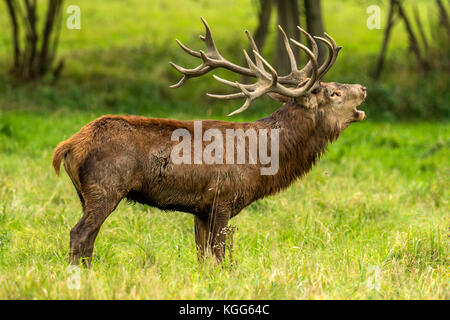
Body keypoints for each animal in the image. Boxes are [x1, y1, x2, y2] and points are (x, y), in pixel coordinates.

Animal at [52, 18, 366, 268]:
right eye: (333, 93)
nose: (362, 88)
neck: (262, 159)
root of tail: (67, 146)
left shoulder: (201, 208)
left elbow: (202, 257)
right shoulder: (222, 198)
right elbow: (219, 257)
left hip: (85, 194)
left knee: (89, 238)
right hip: (105, 187)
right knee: (79, 234)